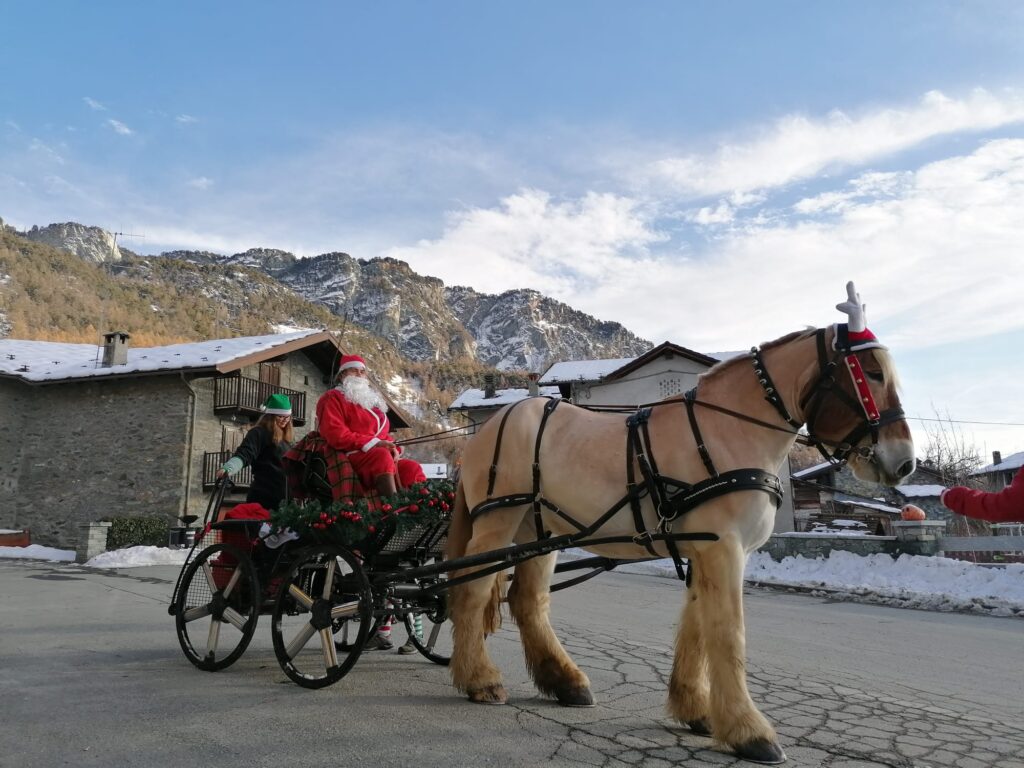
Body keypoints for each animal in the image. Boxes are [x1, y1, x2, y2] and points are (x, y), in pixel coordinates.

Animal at [444, 282, 917, 765]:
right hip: (498, 520)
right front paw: (749, 731)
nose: (904, 462)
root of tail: (492, 425)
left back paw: (565, 681)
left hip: (539, 531)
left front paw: (696, 709)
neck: (726, 431)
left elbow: (696, 627)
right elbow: (727, 633)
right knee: (470, 590)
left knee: (528, 601)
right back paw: (480, 679)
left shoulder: (704, 548)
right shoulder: (723, 549)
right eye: (872, 374)